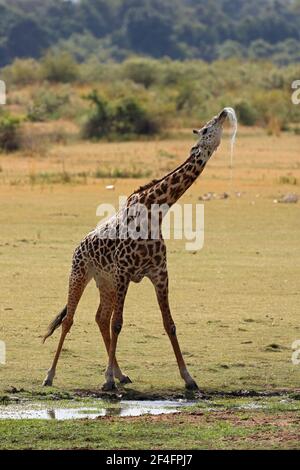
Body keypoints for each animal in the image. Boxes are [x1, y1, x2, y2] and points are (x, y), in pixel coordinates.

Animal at [42, 108, 229, 392]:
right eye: (207, 128)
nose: (224, 113)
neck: (156, 211)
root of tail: (79, 246)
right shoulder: (124, 273)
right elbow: (118, 324)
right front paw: (107, 380)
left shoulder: (159, 273)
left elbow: (169, 324)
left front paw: (188, 378)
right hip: (79, 275)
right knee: (69, 320)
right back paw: (50, 375)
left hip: (105, 282)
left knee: (100, 317)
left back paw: (121, 374)